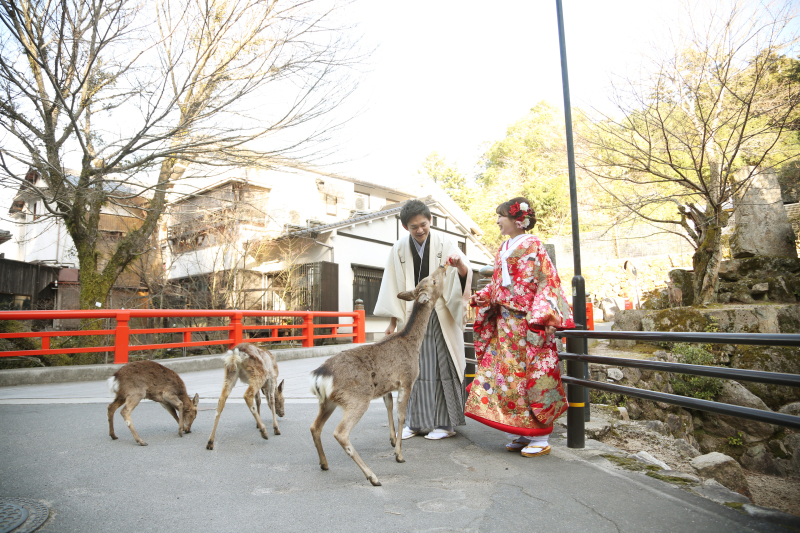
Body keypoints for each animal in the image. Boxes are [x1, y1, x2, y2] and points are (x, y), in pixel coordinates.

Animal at [310, 262, 450, 486]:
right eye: (434, 281)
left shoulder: (387, 386)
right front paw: (399, 454)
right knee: (340, 433)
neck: (413, 344)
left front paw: (392, 441)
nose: (443, 265)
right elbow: (401, 415)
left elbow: (389, 406)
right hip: (357, 398)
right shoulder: (407, 380)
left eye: (428, 278)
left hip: (327, 401)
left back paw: (324, 463)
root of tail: (321, 375)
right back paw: (372, 476)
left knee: (314, 427)